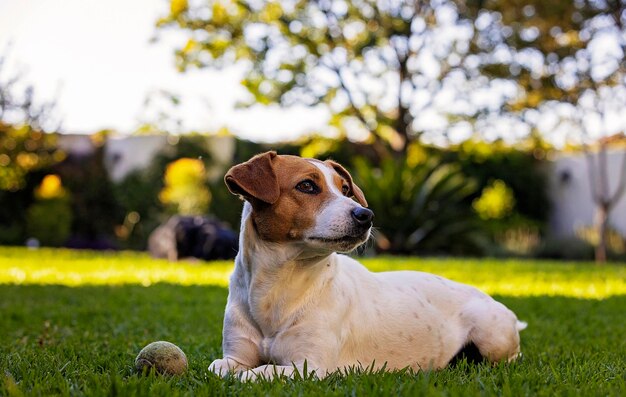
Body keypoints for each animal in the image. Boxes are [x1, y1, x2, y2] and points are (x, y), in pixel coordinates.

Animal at [207, 150, 524, 378]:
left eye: (346, 188)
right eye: (306, 185)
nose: (366, 215)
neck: (279, 286)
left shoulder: (309, 366)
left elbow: (258, 372)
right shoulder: (233, 357)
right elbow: (219, 368)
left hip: (490, 333)